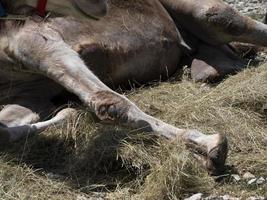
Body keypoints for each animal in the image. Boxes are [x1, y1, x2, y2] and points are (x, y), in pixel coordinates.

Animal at [0, 0, 266, 175]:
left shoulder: (35, 39)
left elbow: (109, 102)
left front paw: (210, 145)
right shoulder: (29, 93)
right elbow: (5, 132)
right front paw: (69, 113)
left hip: (206, 15)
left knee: (224, 19)